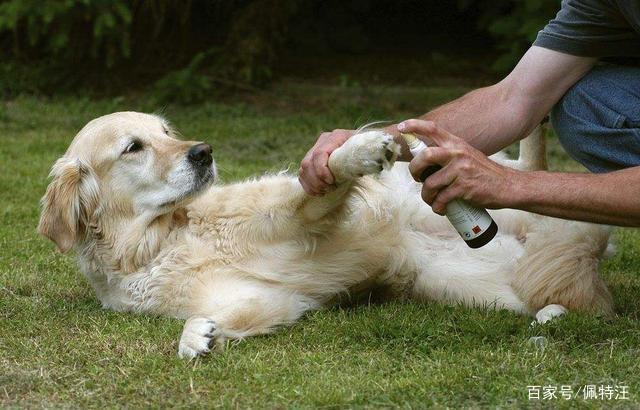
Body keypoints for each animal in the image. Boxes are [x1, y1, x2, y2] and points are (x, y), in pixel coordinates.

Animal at [37, 112, 612, 358]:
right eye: (134, 147)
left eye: (165, 133)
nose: (203, 152)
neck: (160, 239)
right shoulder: (264, 298)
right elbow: (205, 325)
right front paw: (201, 338)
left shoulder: (297, 217)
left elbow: (324, 178)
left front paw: (359, 150)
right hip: (474, 284)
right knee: (573, 289)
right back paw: (552, 313)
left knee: (529, 170)